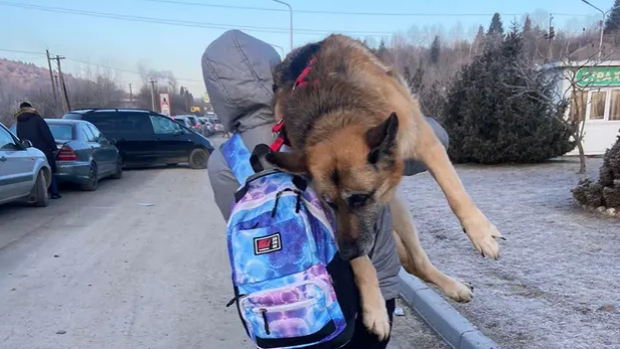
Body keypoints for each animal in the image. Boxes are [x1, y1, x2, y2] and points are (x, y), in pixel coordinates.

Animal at [266, 34, 504, 338]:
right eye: (330, 204)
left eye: (360, 198)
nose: (345, 253)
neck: (334, 113)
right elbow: (363, 264)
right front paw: (374, 308)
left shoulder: (427, 143)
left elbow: (454, 192)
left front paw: (481, 233)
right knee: (414, 264)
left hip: (400, 210)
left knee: (419, 261)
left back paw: (454, 286)